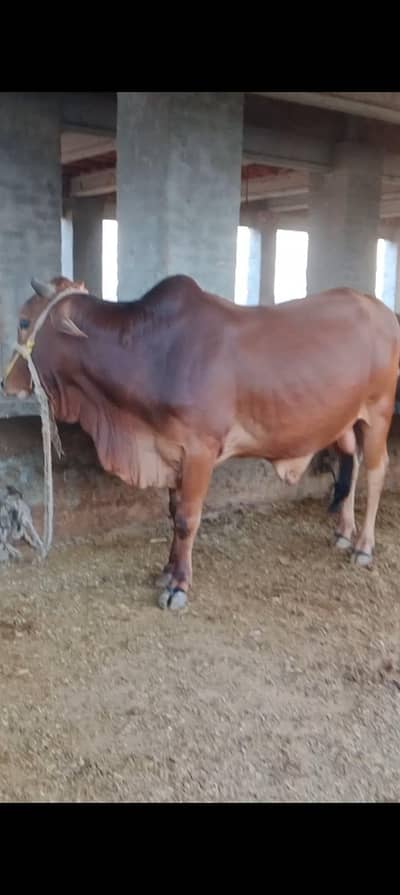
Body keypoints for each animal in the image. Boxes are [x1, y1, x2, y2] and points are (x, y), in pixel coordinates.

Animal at [2, 274, 400, 609]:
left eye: (23, 321)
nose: (6, 384)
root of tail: (382, 310)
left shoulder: (200, 451)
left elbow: (186, 518)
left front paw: (178, 586)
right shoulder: (170, 451)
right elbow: (173, 511)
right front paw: (166, 571)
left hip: (378, 411)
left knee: (376, 470)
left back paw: (363, 547)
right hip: (343, 420)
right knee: (350, 463)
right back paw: (343, 532)